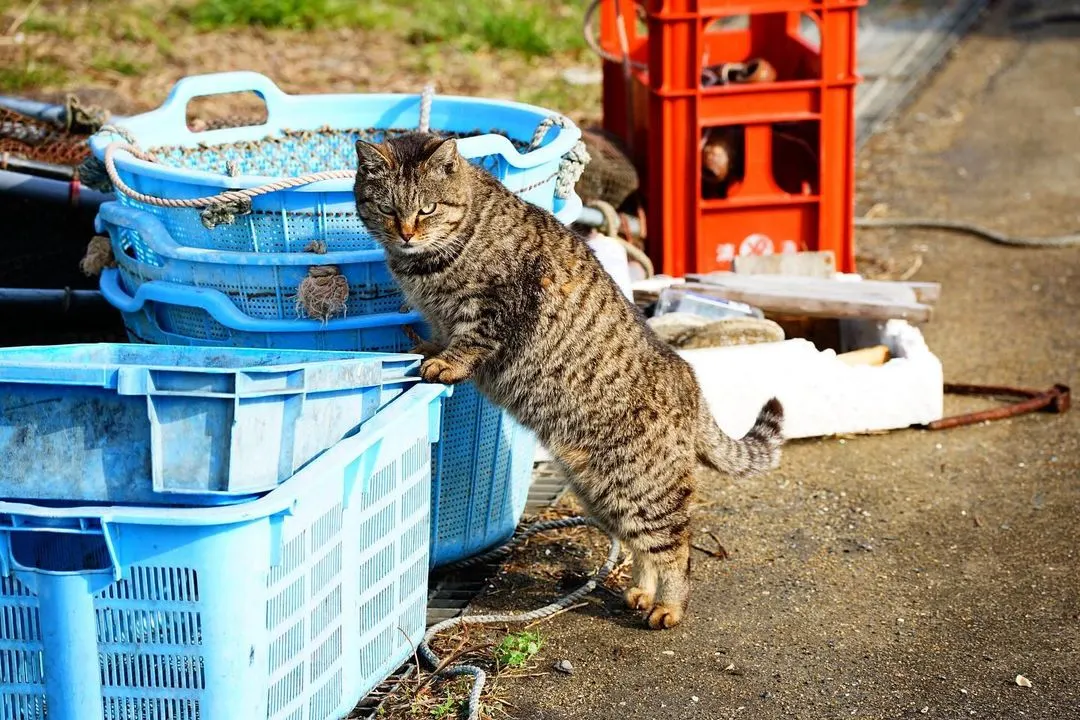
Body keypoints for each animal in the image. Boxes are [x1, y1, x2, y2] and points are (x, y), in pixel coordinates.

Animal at [354, 134, 786, 630]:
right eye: (387, 208)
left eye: (426, 209)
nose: (406, 234)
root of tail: (690, 379)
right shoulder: (443, 316)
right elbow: (439, 337)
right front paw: (426, 349)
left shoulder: (492, 311)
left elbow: (468, 342)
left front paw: (445, 364)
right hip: (604, 493)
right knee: (641, 546)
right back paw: (641, 591)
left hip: (645, 487)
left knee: (676, 548)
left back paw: (669, 606)